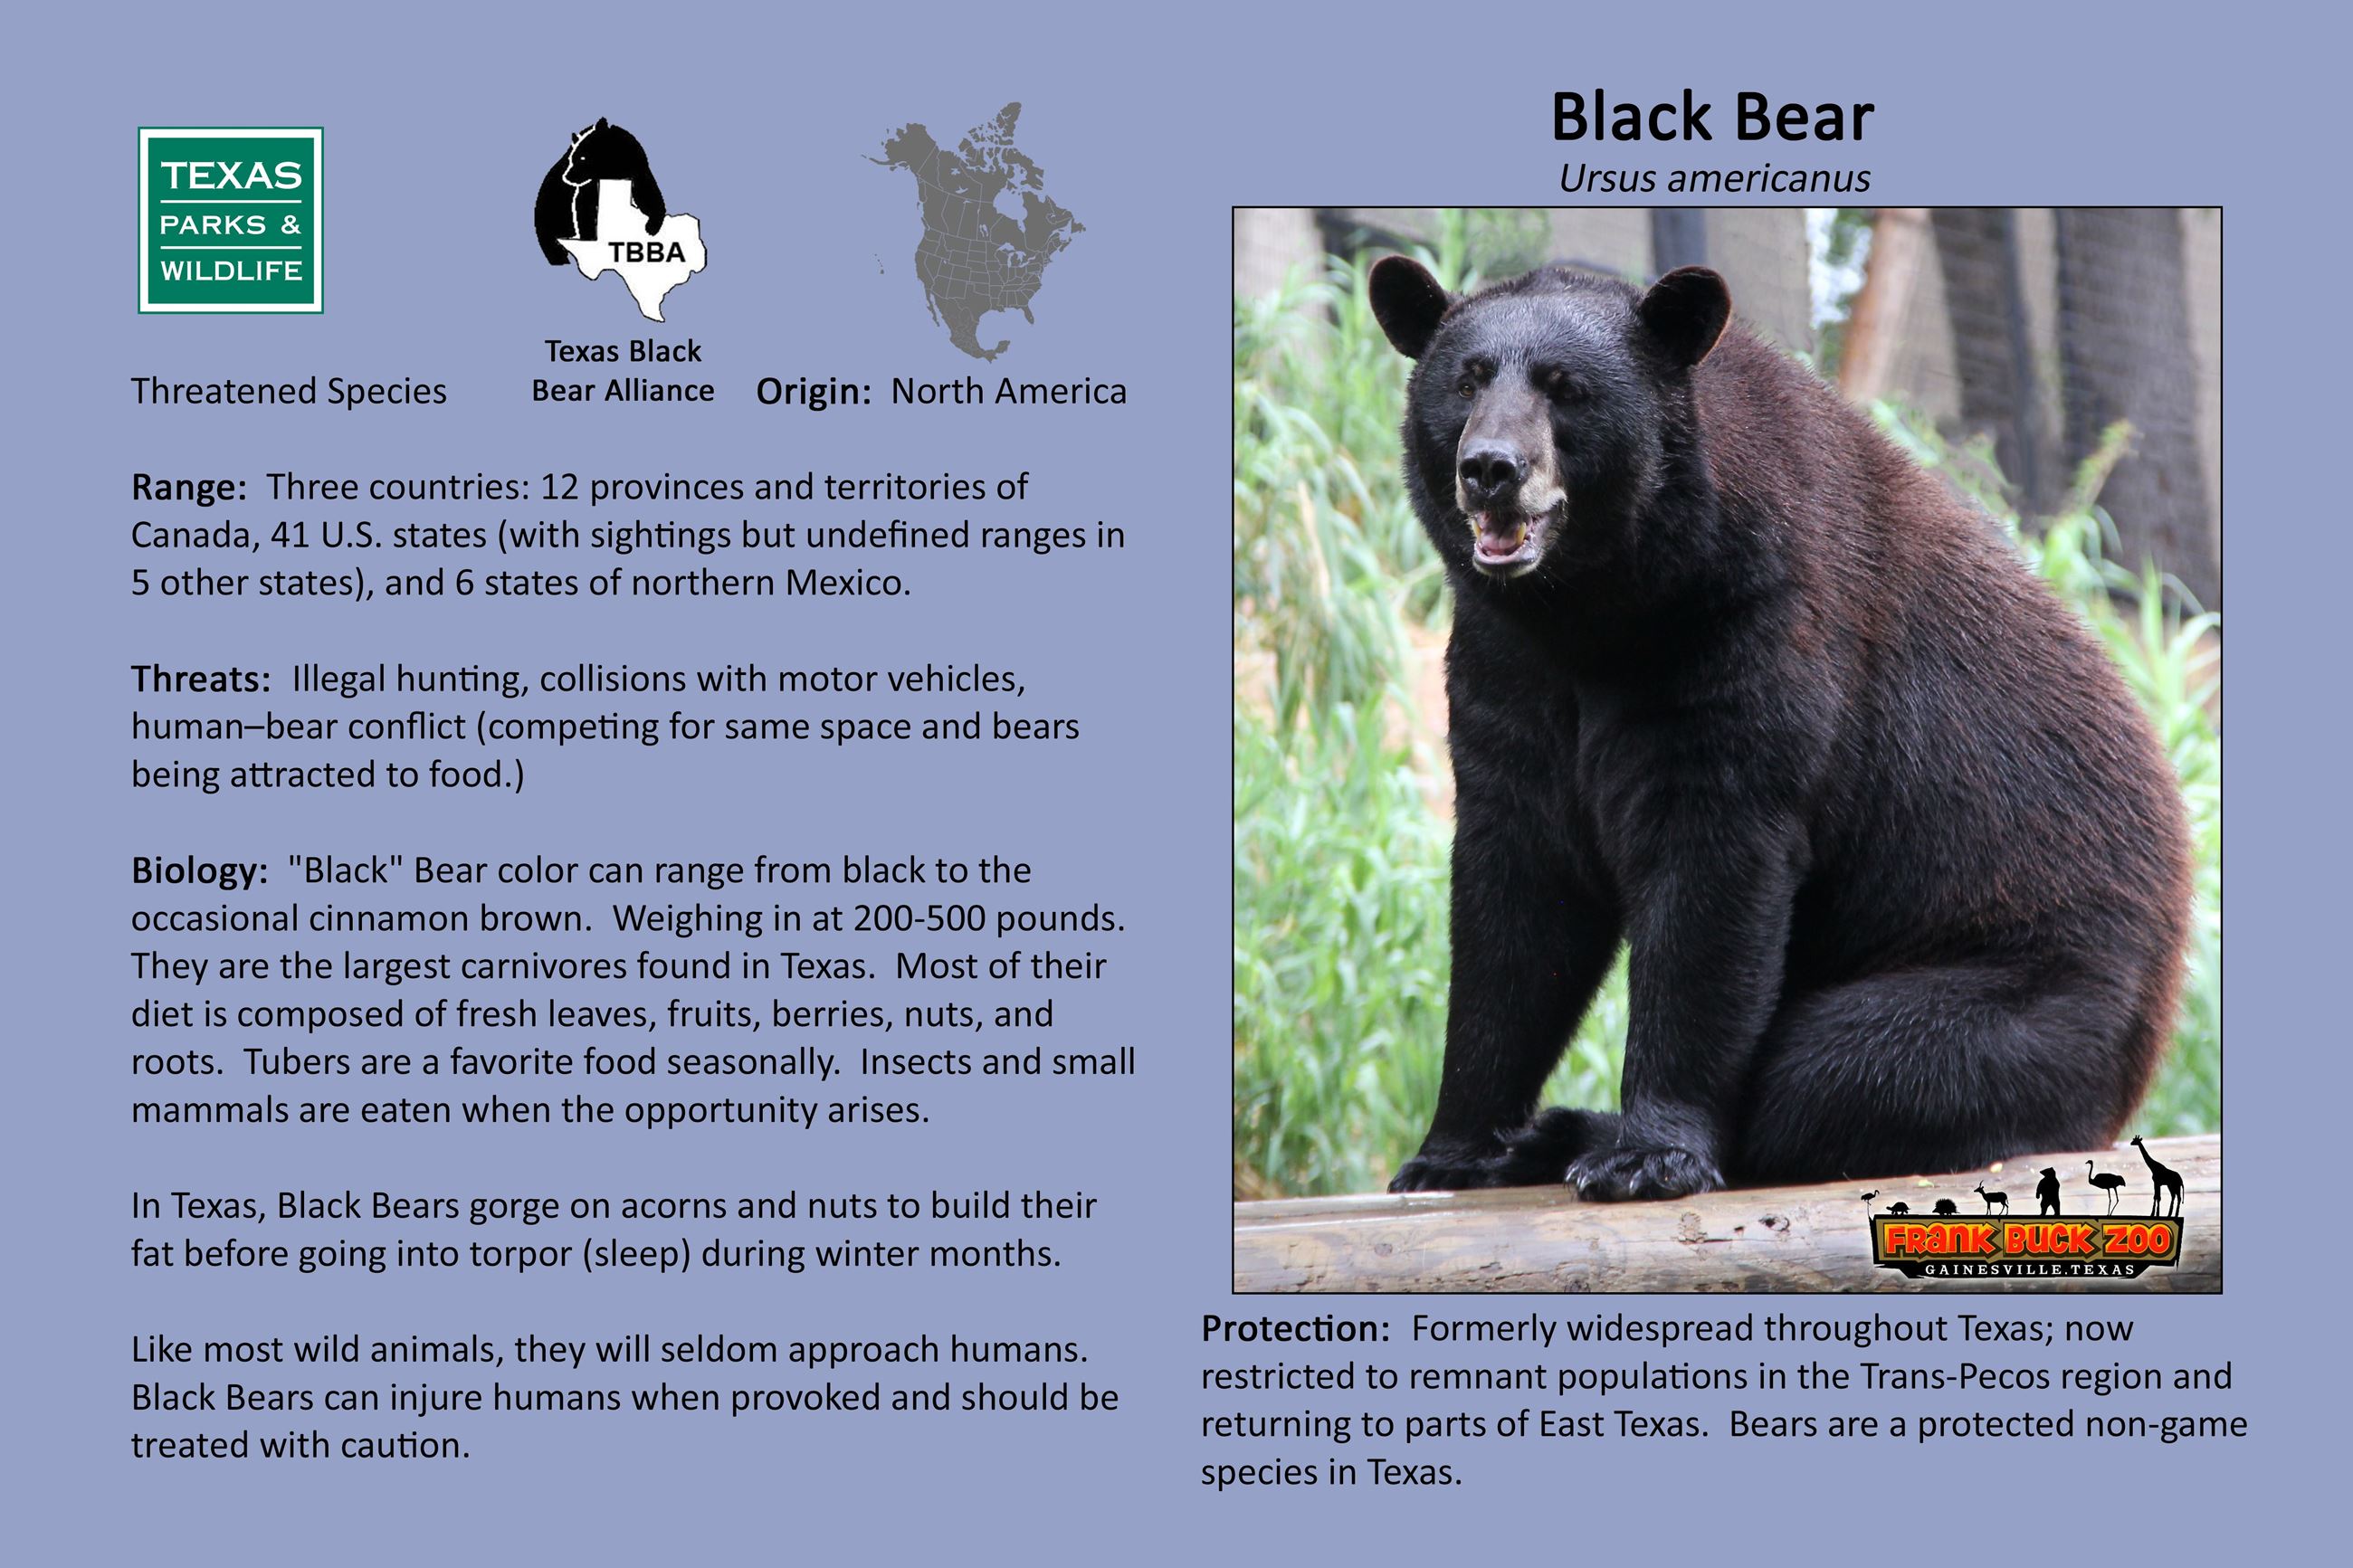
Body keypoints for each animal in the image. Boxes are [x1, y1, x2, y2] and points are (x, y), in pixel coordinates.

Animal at [534, 118, 667, 266]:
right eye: (571, 158)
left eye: (582, 158)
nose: (566, 177)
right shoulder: (591, 185)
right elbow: (586, 208)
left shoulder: (637, 170)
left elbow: (648, 195)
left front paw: (651, 228)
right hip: (551, 215)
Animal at [1367, 255, 2191, 1201]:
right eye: (1466, 381)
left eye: (1566, 387)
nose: (1491, 468)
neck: (1601, 607)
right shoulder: (1507, 666)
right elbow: (1516, 896)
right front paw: (1449, 1151)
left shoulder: (1754, 628)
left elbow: (1713, 873)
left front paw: (1648, 1155)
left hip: (2032, 989)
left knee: (1836, 1070)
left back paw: (1587, 1131)